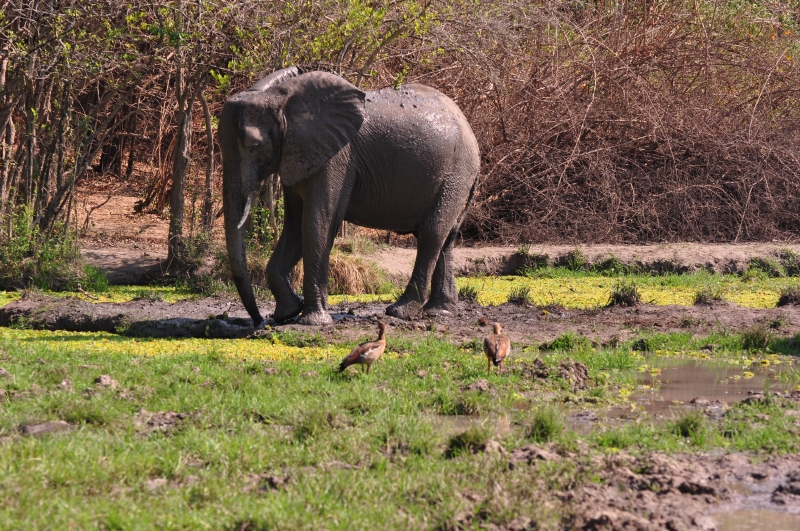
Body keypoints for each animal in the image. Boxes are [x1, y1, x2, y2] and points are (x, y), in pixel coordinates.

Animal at [219, 67, 480, 327]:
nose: (258, 321)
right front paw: (289, 312)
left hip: (455, 173)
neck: (280, 99)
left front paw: (312, 321)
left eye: (254, 146)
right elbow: (294, 226)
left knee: (432, 234)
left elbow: (317, 222)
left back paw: (400, 312)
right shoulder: (297, 155)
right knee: (445, 236)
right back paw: (440, 312)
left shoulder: (336, 158)